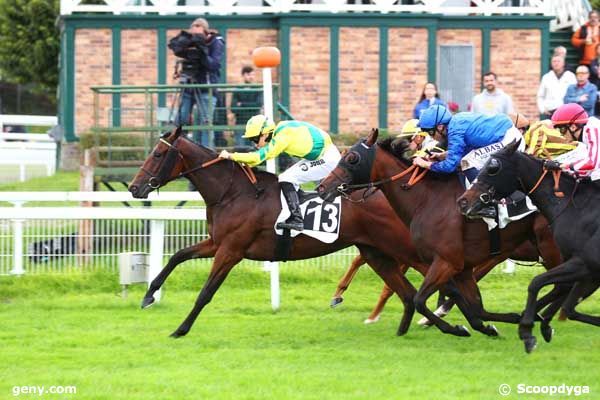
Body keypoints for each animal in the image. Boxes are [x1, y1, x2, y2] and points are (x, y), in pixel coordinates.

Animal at [130, 127, 436, 338]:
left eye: (158, 154)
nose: (134, 187)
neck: (233, 192)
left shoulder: (231, 251)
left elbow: (206, 292)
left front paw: (181, 329)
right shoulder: (217, 243)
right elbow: (177, 256)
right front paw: (148, 296)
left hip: (406, 249)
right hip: (375, 253)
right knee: (408, 292)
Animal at [316, 130, 564, 340]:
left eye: (352, 158)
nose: (322, 187)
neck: (426, 199)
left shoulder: (446, 262)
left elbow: (419, 300)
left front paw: (456, 328)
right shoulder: (461, 268)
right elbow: (477, 309)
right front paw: (493, 326)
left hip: (550, 248)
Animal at [460, 141, 600, 354]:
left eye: (493, 168)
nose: (464, 201)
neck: (577, 208)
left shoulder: (583, 263)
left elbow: (536, 283)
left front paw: (527, 332)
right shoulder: (585, 268)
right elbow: (565, 302)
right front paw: (540, 325)